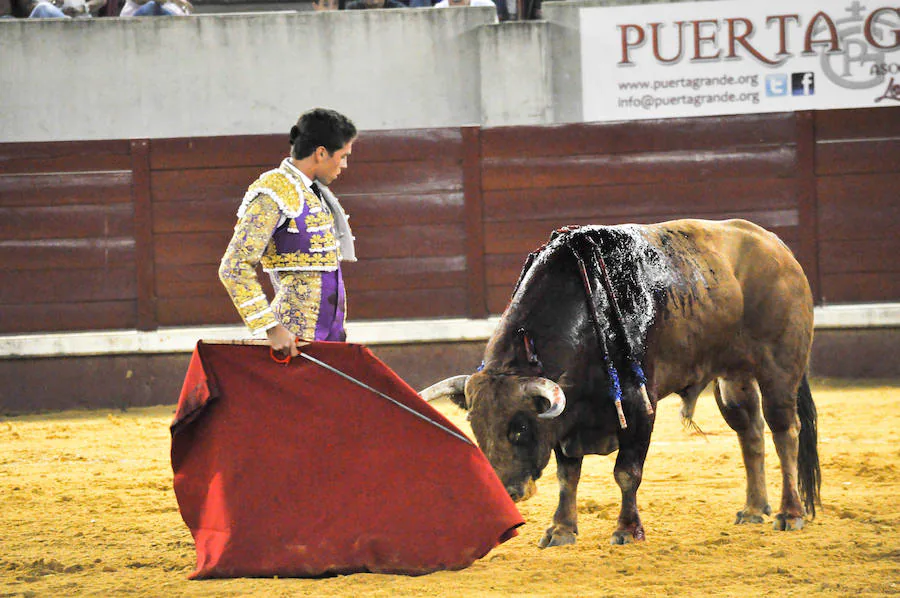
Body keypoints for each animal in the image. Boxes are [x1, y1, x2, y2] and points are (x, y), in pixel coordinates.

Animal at [418, 219, 820, 548]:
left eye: (520, 428)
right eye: (474, 428)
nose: (506, 492)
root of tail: (779, 248)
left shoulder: (639, 406)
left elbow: (626, 473)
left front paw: (627, 529)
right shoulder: (567, 416)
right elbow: (568, 475)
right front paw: (561, 530)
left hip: (779, 370)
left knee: (785, 432)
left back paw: (790, 513)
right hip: (733, 378)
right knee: (750, 432)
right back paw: (753, 509)